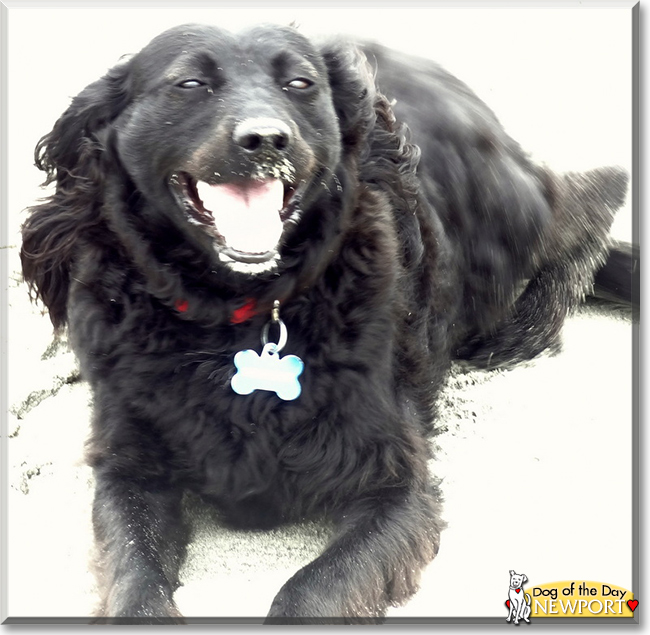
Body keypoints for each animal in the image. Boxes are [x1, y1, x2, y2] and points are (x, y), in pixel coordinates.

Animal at [21, 22, 632, 624]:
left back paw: (534, 319)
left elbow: (309, 591)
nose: (267, 139)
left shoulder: (394, 486)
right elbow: (135, 583)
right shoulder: (128, 470)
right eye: (190, 83)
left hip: (501, 224)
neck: (236, 312)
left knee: (590, 199)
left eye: (300, 83)